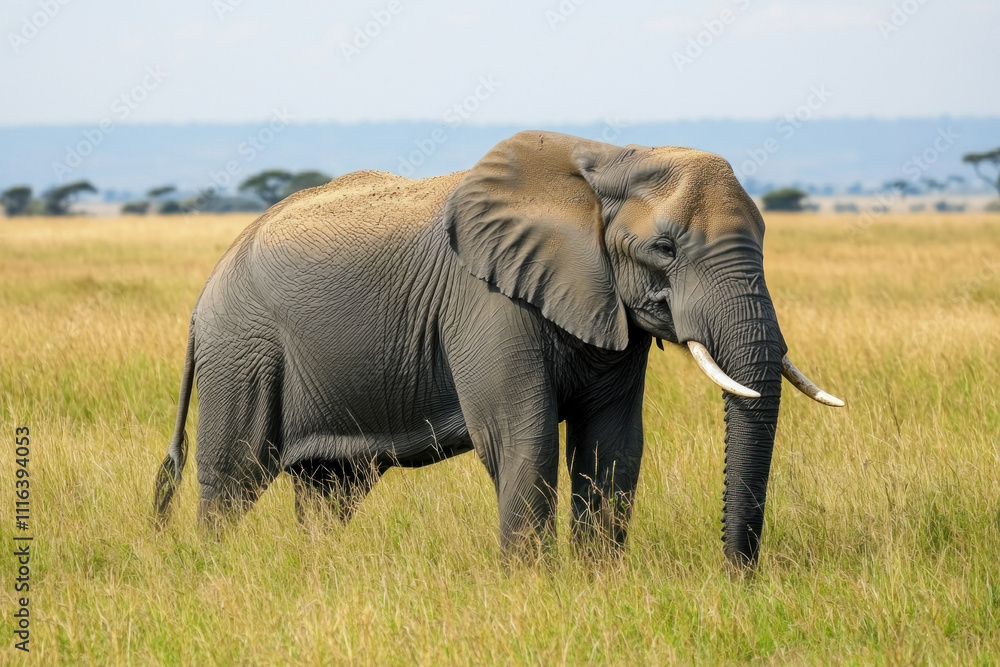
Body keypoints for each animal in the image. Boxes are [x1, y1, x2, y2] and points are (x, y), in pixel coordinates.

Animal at [153, 131, 843, 568]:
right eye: (665, 249)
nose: (736, 577)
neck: (611, 159)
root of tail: (201, 299)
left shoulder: (610, 310)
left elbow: (614, 442)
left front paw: (598, 582)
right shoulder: (487, 303)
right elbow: (519, 435)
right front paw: (531, 585)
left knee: (331, 489)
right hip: (244, 351)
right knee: (233, 480)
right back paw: (214, 567)